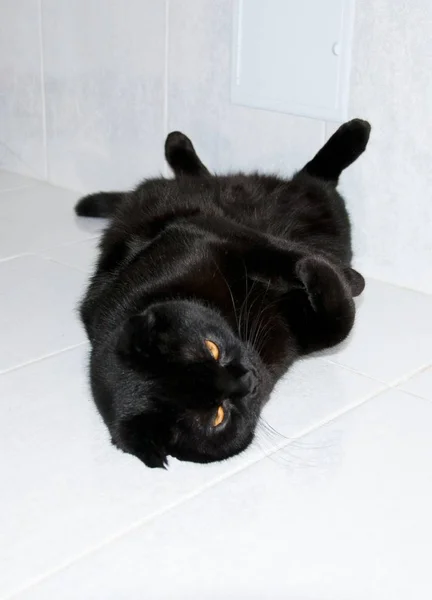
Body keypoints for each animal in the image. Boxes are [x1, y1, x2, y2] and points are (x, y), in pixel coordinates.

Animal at [76, 119, 370, 468]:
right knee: (318, 181)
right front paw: (331, 275)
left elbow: (277, 250)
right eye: (217, 416)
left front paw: (340, 273)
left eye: (212, 348)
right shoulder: (299, 333)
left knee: (305, 179)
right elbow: (339, 322)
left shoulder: (202, 233)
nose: (247, 379)